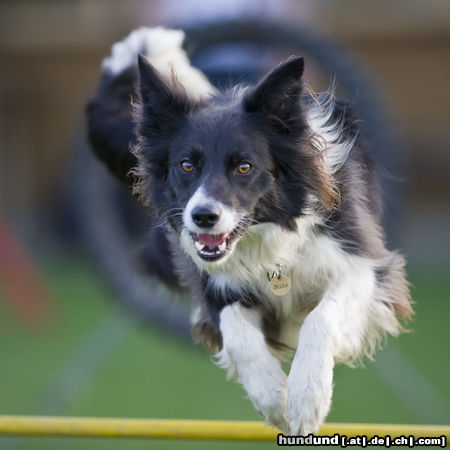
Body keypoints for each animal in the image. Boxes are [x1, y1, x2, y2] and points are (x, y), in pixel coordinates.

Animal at [86, 26, 414, 434]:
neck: (269, 236)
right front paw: (273, 397)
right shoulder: (212, 283)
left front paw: (307, 398)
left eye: (244, 166)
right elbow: (236, 331)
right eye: (186, 165)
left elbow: (321, 319)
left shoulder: (363, 266)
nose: (203, 217)